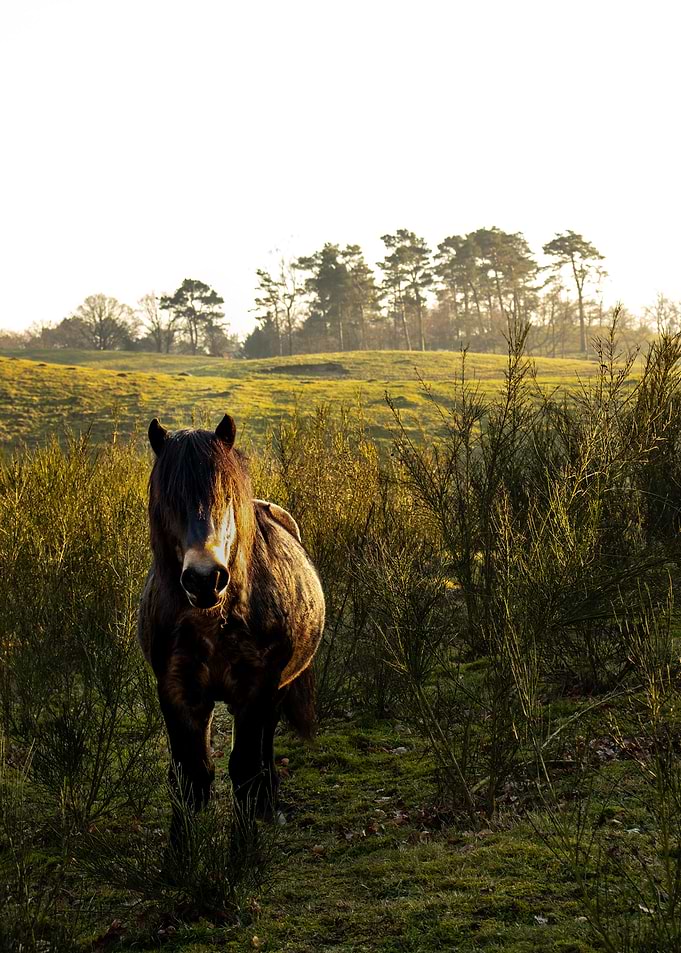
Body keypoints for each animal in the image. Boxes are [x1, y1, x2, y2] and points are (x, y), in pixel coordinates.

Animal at [137, 413, 325, 840]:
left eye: (225, 495)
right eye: (168, 500)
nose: (204, 578)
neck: (212, 623)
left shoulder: (256, 691)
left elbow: (244, 771)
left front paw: (244, 846)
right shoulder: (177, 693)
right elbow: (190, 776)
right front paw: (181, 851)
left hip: (278, 689)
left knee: (266, 743)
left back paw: (270, 805)